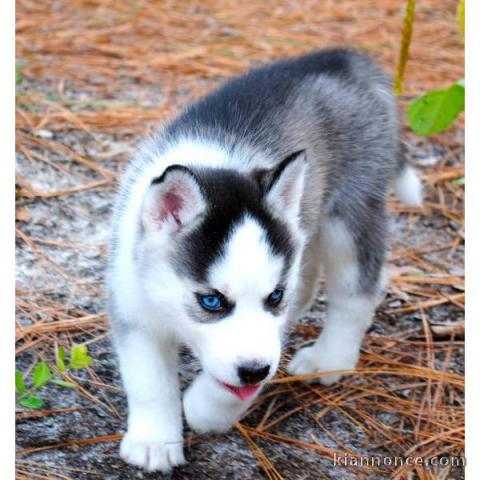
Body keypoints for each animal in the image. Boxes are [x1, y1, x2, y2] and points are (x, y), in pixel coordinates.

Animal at [107, 49, 422, 472]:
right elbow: (149, 381)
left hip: (349, 213)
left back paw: (330, 357)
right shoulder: (134, 304)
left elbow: (229, 389)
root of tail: (343, 57)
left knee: (357, 292)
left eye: (274, 297)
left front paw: (205, 409)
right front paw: (153, 441)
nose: (255, 370)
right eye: (211, 301)